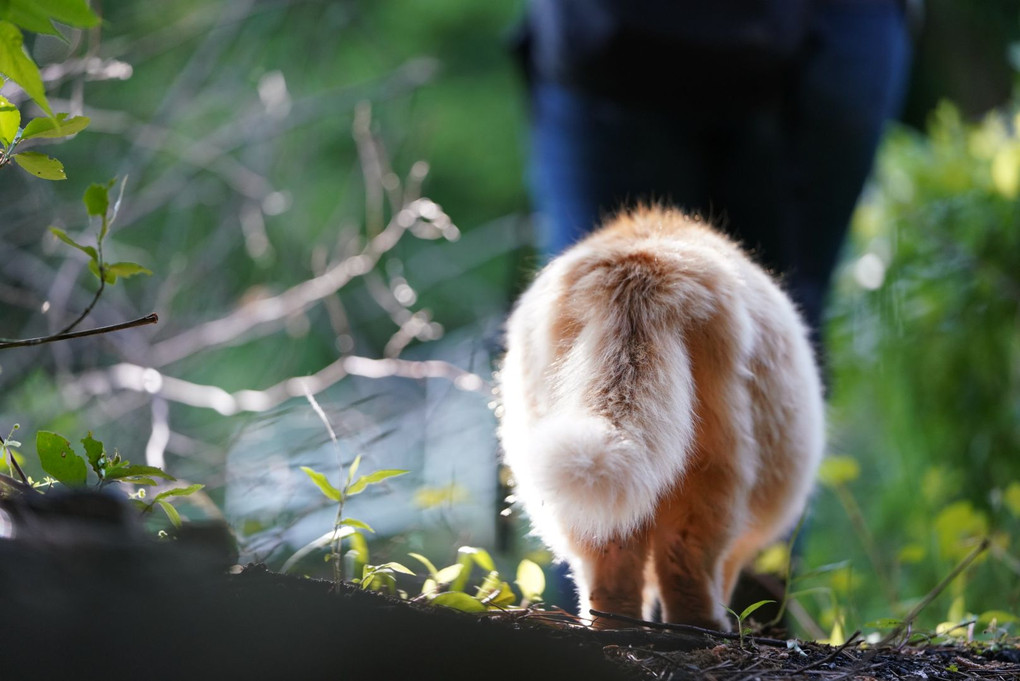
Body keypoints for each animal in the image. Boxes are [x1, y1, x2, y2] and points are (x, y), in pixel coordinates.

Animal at [497, 204, 824, 632]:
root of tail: (642, 265)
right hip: (712, 475)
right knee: (689, 561)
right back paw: (704, 627)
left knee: (611, 564)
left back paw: (614, 625)